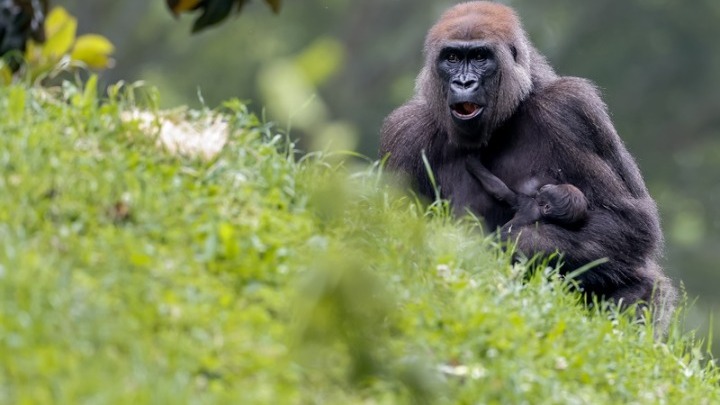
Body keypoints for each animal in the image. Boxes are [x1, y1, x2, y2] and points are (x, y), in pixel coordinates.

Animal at [380, 1, 676, 330]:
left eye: (480, 57)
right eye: (452, 58)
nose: (463, 82)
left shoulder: (571, 109)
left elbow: (628, 221)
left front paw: (516, 242)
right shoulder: (405, 133)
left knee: (639, 279)